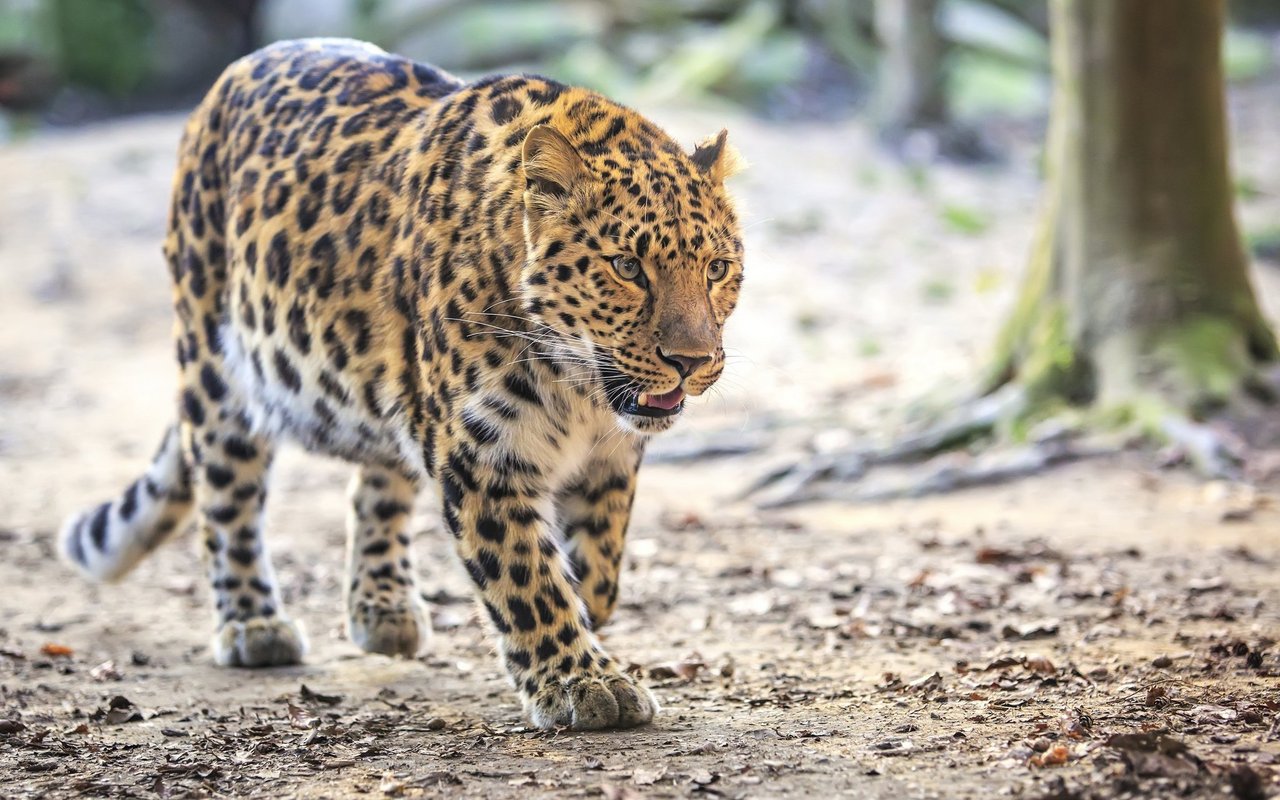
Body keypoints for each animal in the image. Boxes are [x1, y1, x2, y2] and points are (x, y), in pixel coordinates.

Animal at [57, 39, 742, 732]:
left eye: (717, 269)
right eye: (627, 267)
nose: (692, 361)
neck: (576, 385)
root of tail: (230, 76)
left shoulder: (610, 453)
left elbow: (598, 564)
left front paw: (586, 620)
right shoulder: (482, 454)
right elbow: (528, 576)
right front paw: (581, 681)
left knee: (375, 485)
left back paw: (382, 607)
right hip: (217, 366)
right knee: (227, 497)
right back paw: (253, 623)